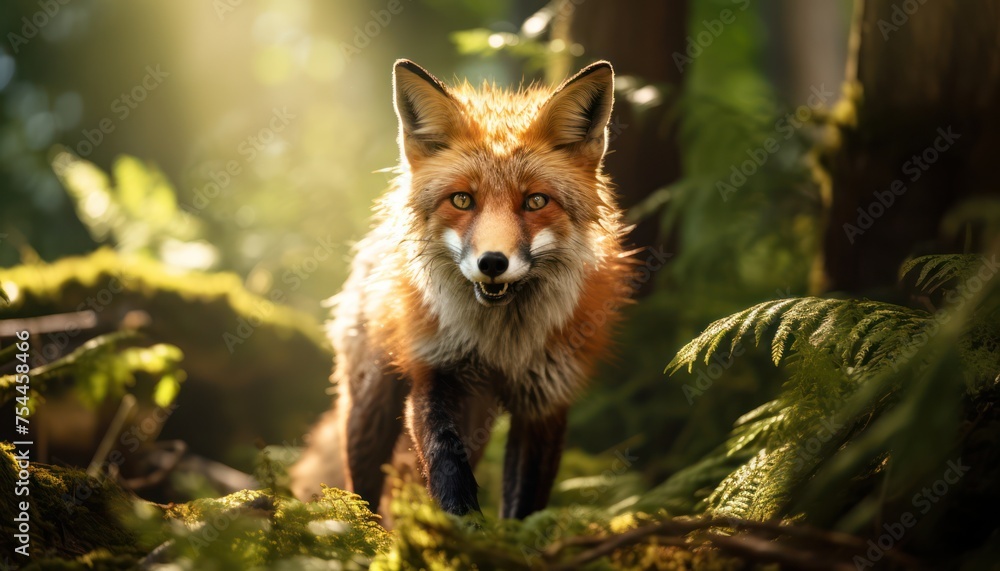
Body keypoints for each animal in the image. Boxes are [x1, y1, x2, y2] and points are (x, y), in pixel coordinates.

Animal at [290, 59, 633, 519]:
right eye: (462, 200)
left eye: (536, 202)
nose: (492, 263)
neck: (499, 345)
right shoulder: (434, 369)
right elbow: (444, 457)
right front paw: (460, 520)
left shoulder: (545, 397)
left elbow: (524, 503)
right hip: (371, 403)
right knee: (363, 484)